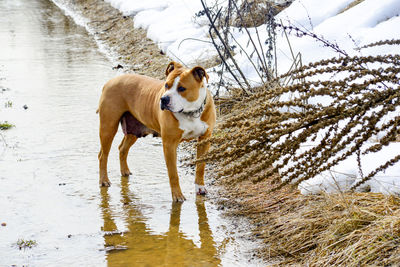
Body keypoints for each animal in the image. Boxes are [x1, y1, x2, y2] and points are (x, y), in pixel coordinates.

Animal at [97, 61, 216, 202]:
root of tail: (110, 82)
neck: (191, 113)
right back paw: (104, 180)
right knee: (103, 155)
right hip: (108, 127)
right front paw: (177, 196)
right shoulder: (169, 145)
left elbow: (201, 167)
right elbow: (173, 173)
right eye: (166, 85)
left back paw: (125, 171)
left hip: (134, 129)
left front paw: (200, 188)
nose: (163, 99)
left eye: (182, 88)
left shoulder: (205, 139)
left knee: (122, 149)